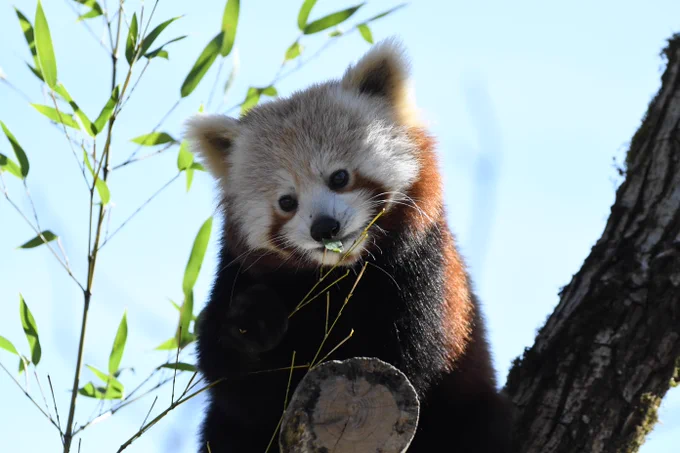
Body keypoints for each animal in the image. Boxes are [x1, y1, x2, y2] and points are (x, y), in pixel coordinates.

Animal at [185, 38, 514, 453]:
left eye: (339, 177)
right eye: (286, 202)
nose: (325, 227)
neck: (338, 278)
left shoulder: (422, 275)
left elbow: (413, 362)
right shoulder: (236, 273)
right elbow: (234, 384)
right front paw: (253, 321)